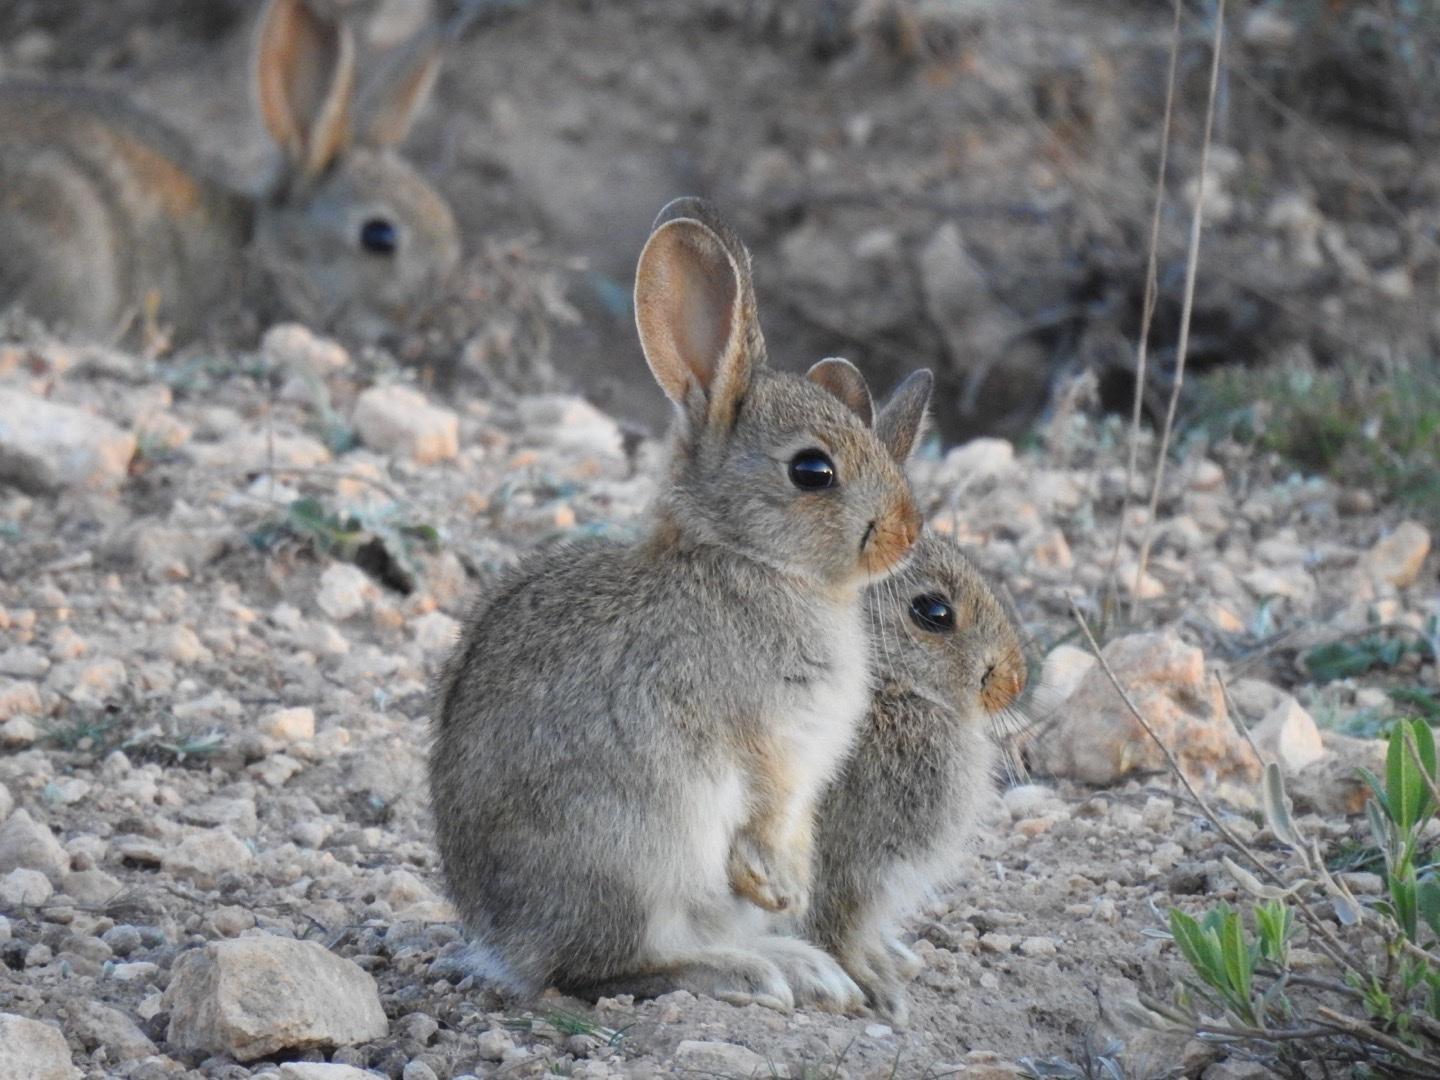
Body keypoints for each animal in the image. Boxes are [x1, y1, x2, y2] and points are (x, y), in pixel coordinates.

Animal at [431, 196, 932, 1013]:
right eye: (813, 470)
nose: (908, 533)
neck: (749, 560)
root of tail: (505, 942)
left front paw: (791, 894)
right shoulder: (760, 736)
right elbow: (767, 809)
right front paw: (782, 887)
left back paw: (799, 964)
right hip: (639, 855)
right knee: (609, 967)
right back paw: (752, 971)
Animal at [804, 532, 1028, 1026]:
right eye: (934, 612)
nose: (1014, 682)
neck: (887, 686)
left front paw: (892, 964)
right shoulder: (846, 870)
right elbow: (835, 931)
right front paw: (879, 993)